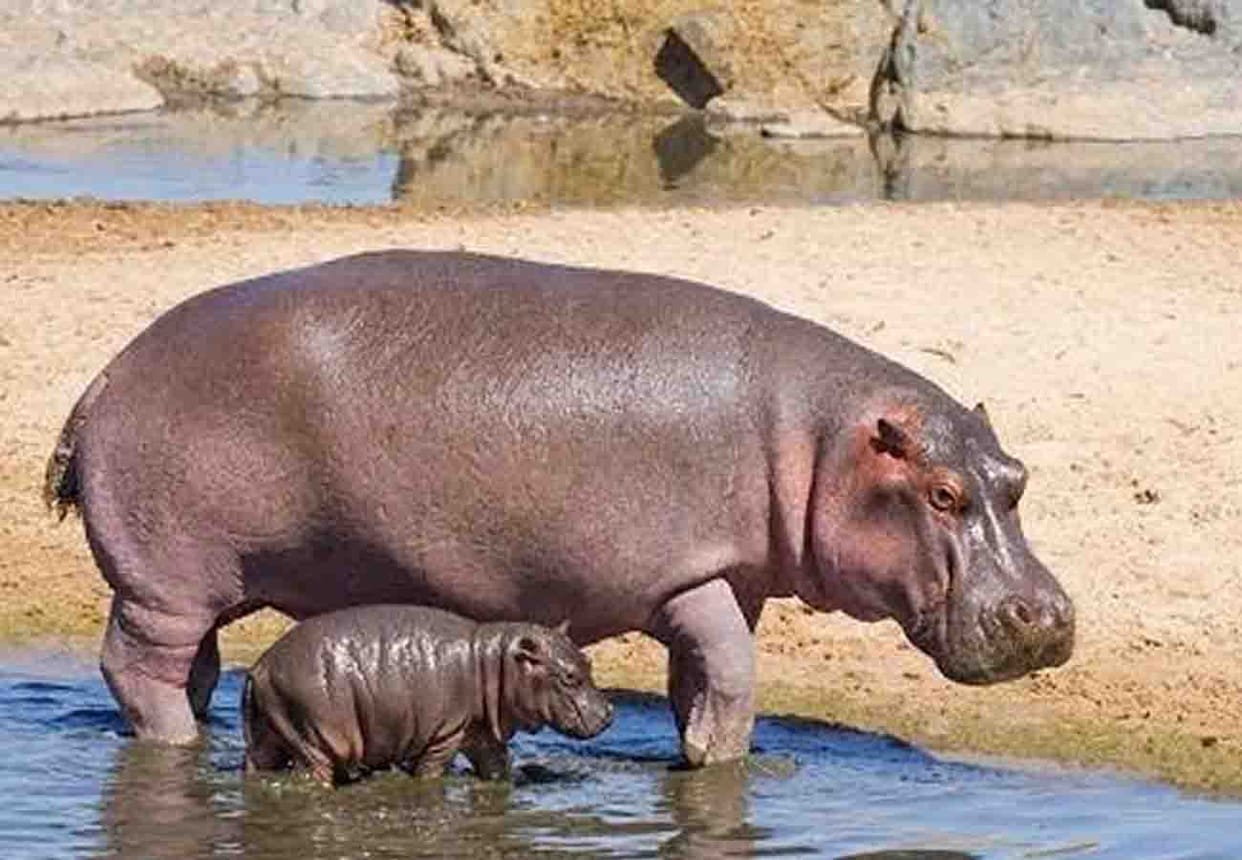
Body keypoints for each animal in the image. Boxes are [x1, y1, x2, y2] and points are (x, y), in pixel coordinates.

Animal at [45, 250, 1074, 765]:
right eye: (942, 493)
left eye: (1017, 477)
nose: (1049, 616)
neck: (818, 438)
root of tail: (104, 375)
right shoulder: (688, 576)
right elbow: (735, 679)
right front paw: (720, 760)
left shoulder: (730, 579)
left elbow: (703, 679)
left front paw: (694, 749)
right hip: (166, 583)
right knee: (138, 668)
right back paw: (179, 749)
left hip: (198, 585)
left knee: (192, 669)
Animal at [242, 605, 612, 785]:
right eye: (569, 677)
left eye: (588, 661)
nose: (609, 713)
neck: (493, 662)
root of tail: (259, 668)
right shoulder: (444, 736)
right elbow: (430, 774)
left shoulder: (478, 731)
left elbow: (498, 766)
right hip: (315, 738)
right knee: (311, 775)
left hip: (272, 733)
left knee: (257, 764)